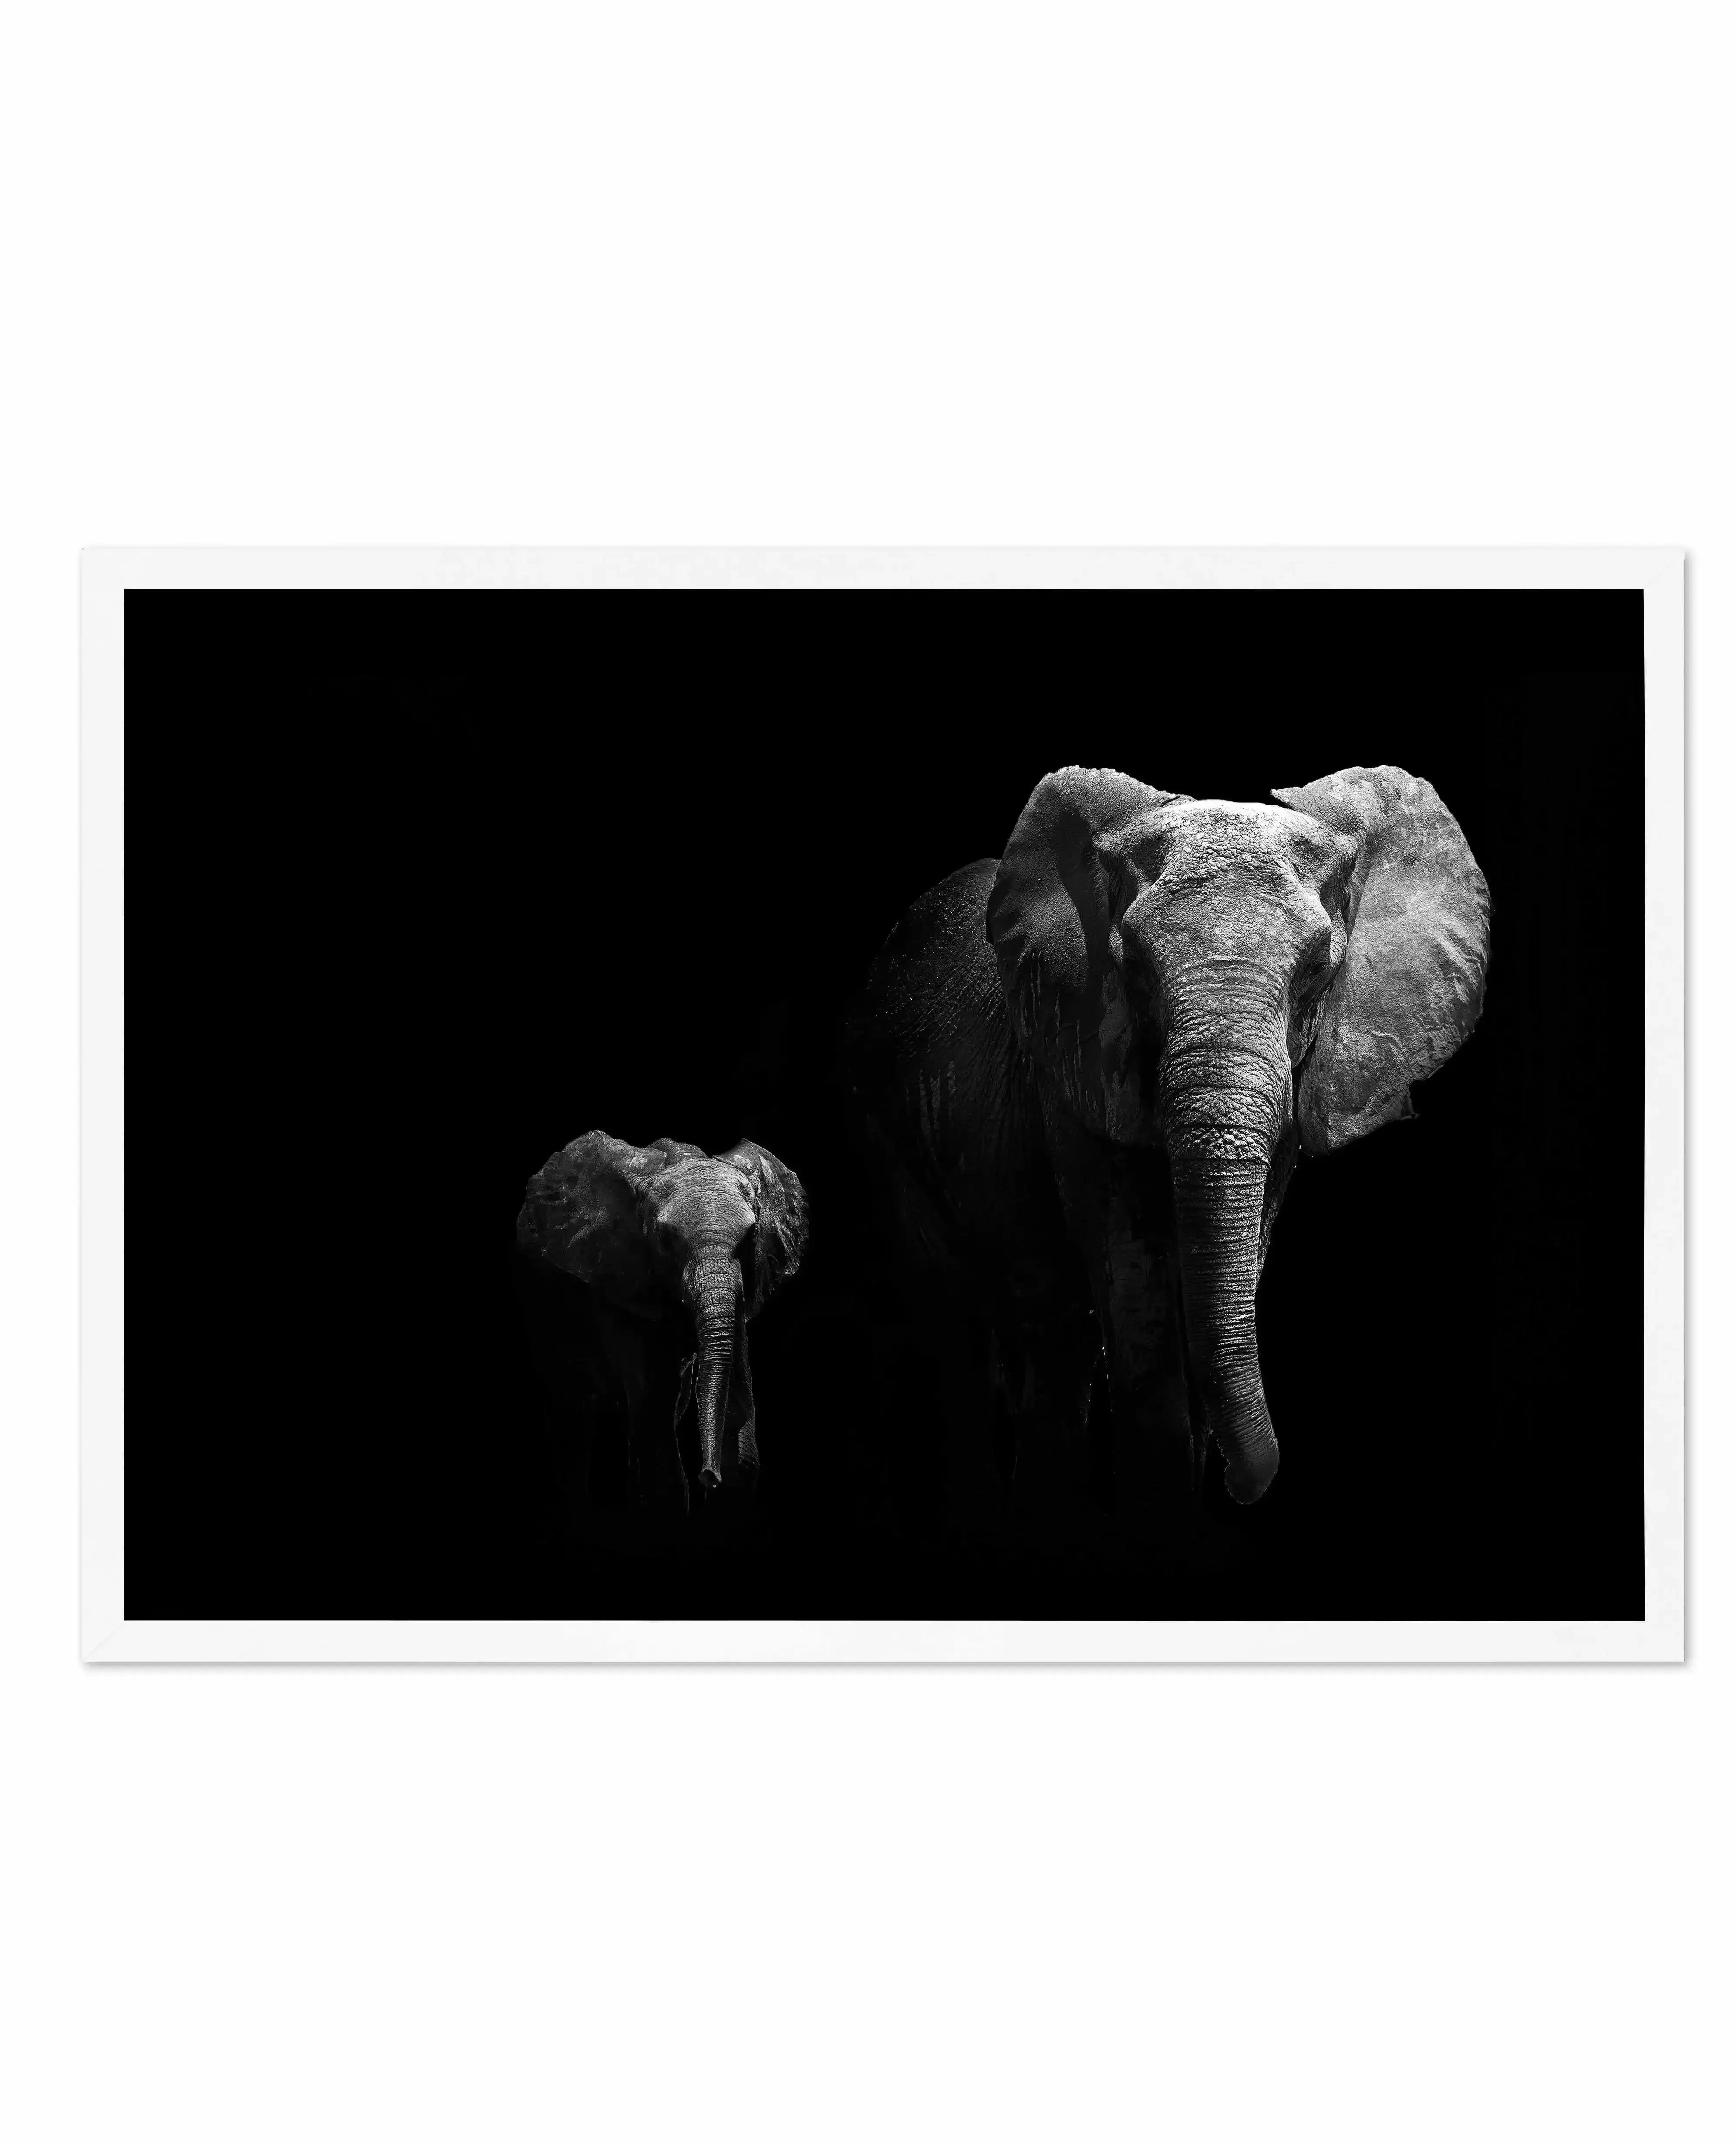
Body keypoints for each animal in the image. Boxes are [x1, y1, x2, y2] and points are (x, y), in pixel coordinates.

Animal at [514, 1132, 809, 1514]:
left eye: (752, 1237)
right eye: (665, 1240)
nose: (708, 1476)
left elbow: (740, 1443)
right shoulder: (621, 1274)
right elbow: (655, 1419)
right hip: (540, 1304)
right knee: (574, 1414)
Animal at [843, 763, 1489, 1515]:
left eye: (1313, 972)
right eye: (1134, 970)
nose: (1245, 1484)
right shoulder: (1076, 1066)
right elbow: (1138, 1301)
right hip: (881, 1122)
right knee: (974, 1329)